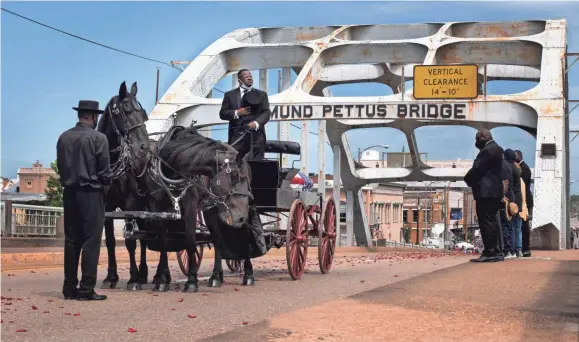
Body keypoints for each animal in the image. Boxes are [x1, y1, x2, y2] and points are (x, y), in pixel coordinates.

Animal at [95, 81, 151, 292]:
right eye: (126, 111)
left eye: (142, 113)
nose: (144, 147)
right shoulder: (106, 208)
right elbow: (110, 241)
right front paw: (111, 277)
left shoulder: (130, 204)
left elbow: (130, 241)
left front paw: (133, 279)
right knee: (145, 237)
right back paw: (143, 274)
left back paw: (142, 275)